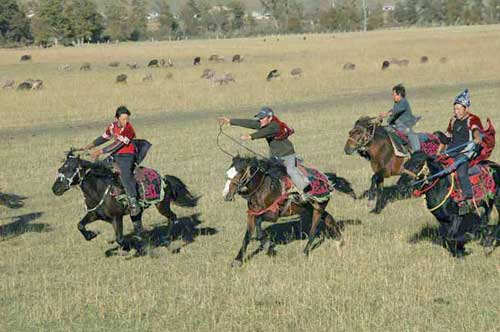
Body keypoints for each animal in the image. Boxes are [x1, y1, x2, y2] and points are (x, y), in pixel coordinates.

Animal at [51, 150, 198, 254]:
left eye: (71, 169)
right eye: (60, 169)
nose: (55, 189)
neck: (99, 189)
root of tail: (164, 178)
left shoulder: (117, 217)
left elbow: (120, 239)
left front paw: (129, 246)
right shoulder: (94, 214)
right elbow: (80, 225)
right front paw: (91, 235)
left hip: (161, 205)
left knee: (172, 217)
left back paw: (166, 239)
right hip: (137, 212)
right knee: (140, 228)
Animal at [223, 156, 356, 268]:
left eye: (239, 173)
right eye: (227, 173)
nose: (225, 195)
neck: (264, 188)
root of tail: (327, 179)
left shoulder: (273, 215)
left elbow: (259, 227)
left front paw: (269, 247)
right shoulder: (251, 215)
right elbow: (247, 237)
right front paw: (237, 260)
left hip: (318, 209)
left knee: (313, 231)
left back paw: (305, 252)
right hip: (311, 208)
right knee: (329, 219)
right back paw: (339, 240)